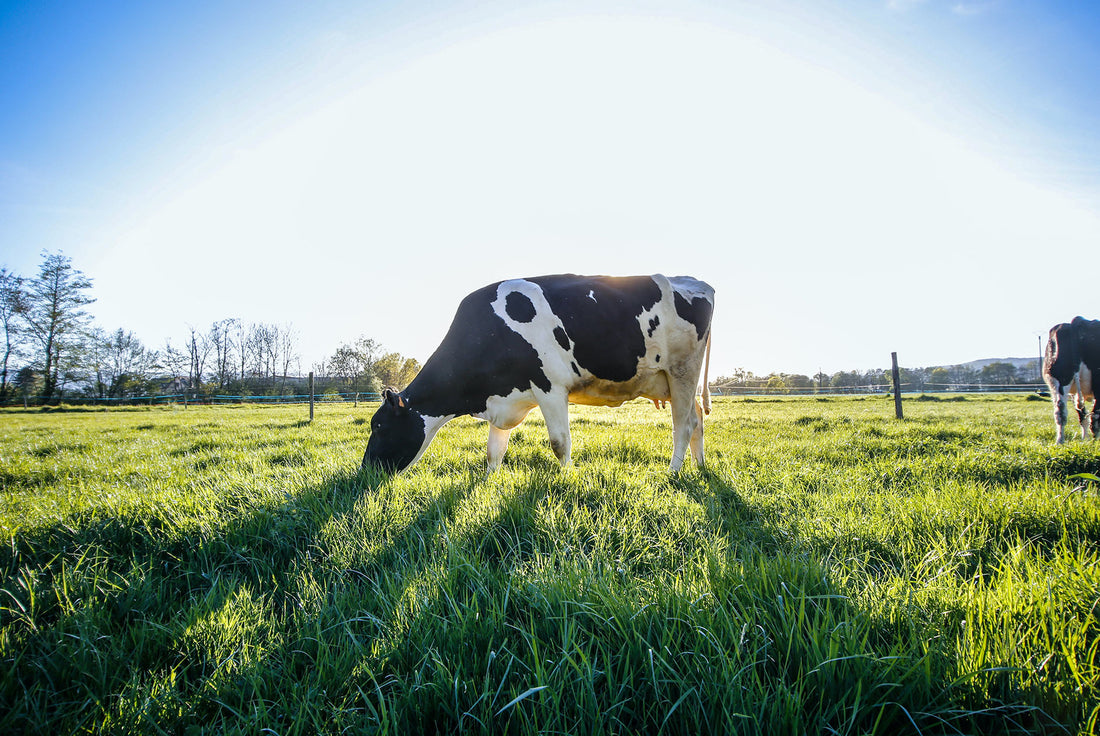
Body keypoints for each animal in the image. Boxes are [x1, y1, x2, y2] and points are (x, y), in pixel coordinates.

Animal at [365, 273, 717, 470]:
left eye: (378, 426)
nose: (365, 471)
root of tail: (697, 283)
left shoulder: (550, 387)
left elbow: (560, 443)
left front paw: (568, 477)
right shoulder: (503, 398)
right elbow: (494, 451)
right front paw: (490, 482)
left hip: (682, 371)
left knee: (683, 425)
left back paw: (673, 472)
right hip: (672, 381)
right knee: (698, 419)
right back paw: (699, 467)